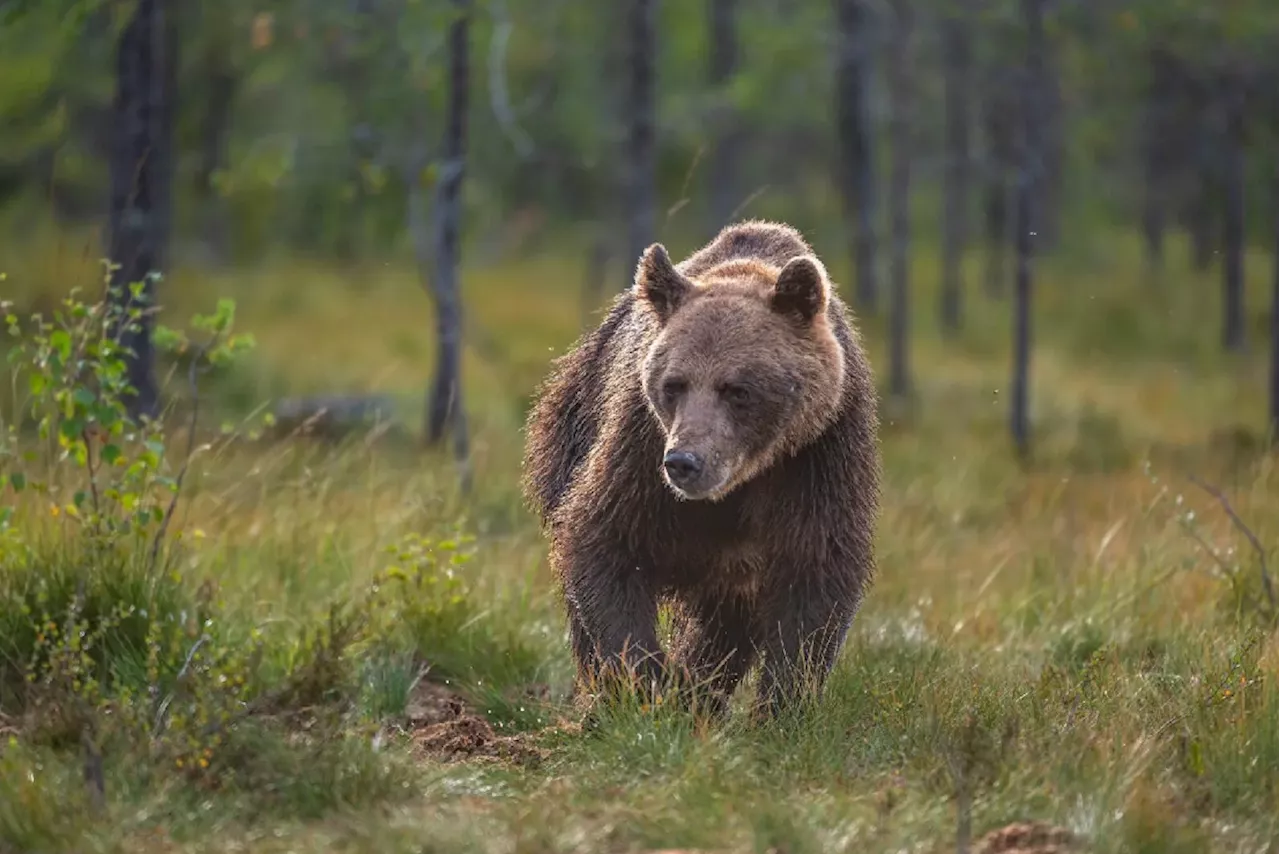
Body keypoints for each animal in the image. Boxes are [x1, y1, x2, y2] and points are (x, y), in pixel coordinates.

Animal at [519, 220, 880, 722]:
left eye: (738, 389)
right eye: (674, 384)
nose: (684, 462)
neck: (742, 481)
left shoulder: (819, 455)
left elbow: (815, 572)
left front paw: (781, 707)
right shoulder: (638, 449)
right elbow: (602, 541)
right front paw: (643, 684)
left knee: (725, 625)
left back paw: (699, 691)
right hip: (568, 432)